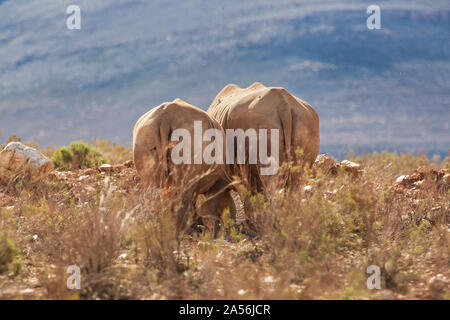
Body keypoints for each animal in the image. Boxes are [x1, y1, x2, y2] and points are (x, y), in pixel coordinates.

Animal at [133, 99, 236, 236]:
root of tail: (165, 118)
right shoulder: (219, 181)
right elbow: (209, 210)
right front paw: (212, 234)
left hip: (145, 134)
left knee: (152, 191)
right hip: (189, 139)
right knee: (182, 197)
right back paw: (182, 234)